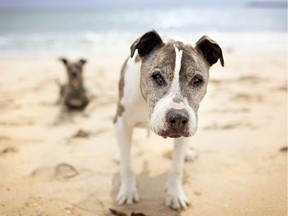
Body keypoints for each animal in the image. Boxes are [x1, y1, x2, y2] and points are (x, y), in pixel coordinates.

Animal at [113, 29, 224, 210]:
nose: (178, 117)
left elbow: (176, 168)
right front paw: (128, 191)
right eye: (157, 76)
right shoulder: (121, 122)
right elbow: (127, 165)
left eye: (197, 80)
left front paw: (174, 195)